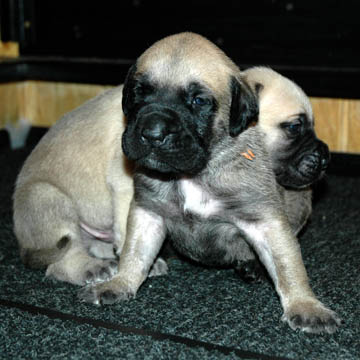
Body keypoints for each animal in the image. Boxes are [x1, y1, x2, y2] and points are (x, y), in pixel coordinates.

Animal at [76, 32, 340, 334]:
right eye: (139, 93)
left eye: (199, 101)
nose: (152, 133)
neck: (193, 174)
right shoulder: (148, 212)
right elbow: (135, 252)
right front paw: (119, 283)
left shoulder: (265, 220)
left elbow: (287, 264)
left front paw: (304, 305)